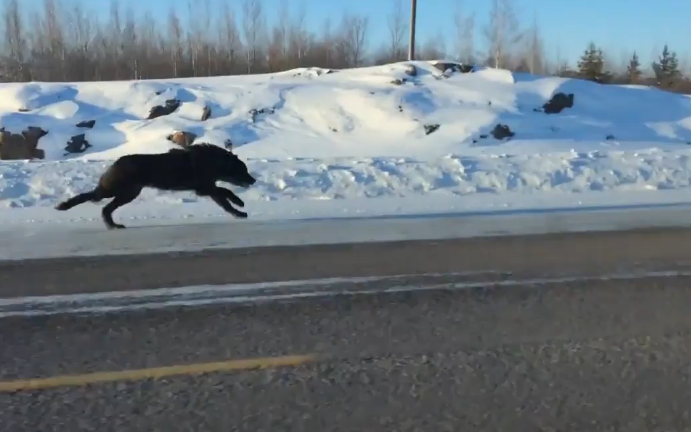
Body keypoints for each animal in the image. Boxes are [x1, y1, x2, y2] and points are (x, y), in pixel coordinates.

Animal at [56, 143, 256, 231]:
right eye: (243, 170)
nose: (253, 180)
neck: (213, 162)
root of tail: (117, 162)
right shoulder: (203, 188)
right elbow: (226, 192)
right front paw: (240, 203)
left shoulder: (208, 188)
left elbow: (225, 202)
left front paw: (238, 212)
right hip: (115, 190)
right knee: (91, 197)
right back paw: (63, 205)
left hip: (129, 193)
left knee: (106, 208)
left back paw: (113, 225)